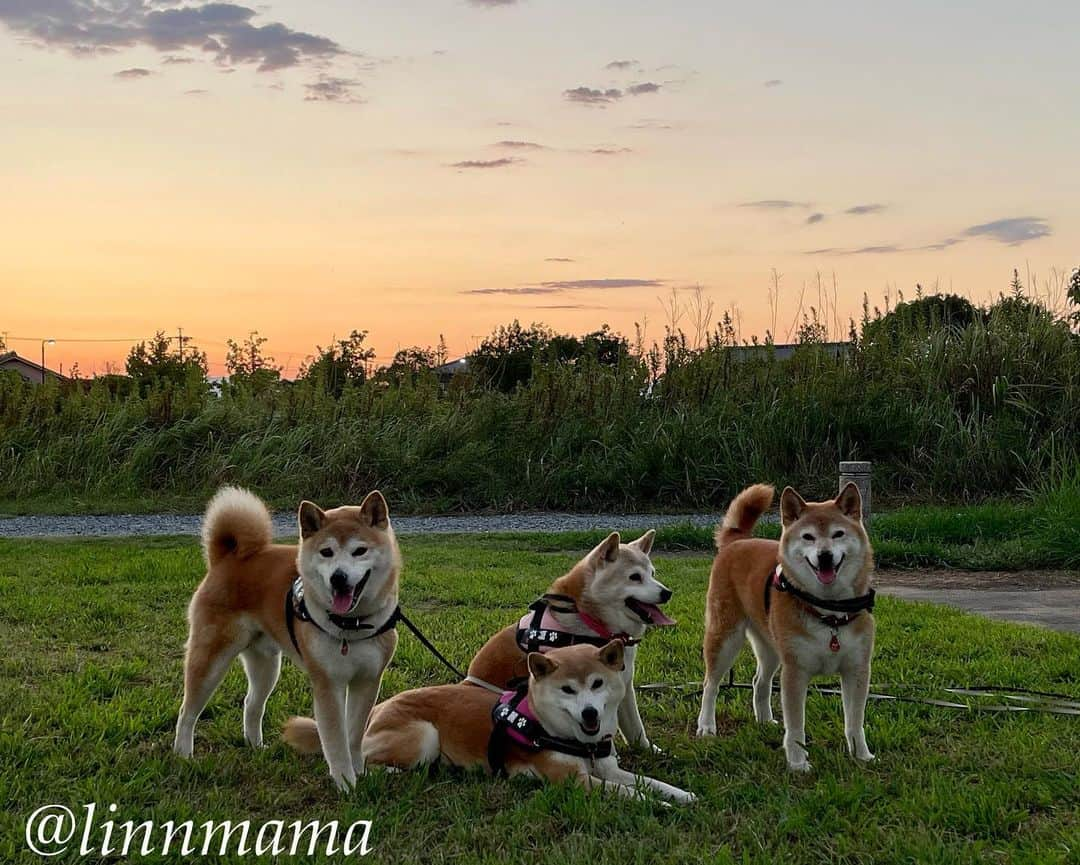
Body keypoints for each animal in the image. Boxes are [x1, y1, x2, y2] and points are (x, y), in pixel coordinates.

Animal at [174, 485, 403, 790]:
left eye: (359, 551)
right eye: (326, 552)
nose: (338, 578)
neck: (351, 625)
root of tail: (226, 558)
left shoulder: (367, 680)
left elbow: (354, 735)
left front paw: (360, 772)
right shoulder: (327, 684)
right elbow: (335, 739)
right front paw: (345, 782)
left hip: (266, 665)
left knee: (251, 704)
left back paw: (255, 746)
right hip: (211, 657)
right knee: (187, 711)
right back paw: (183, 755)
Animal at [282, 639, 695, 803]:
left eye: (597, 684)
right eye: (567, 690)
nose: (590, 713)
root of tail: (379, 707)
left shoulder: (607, 767)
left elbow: (647, 781)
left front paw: (682, 795)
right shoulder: (574, 781)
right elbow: (629, 792)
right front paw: (656, 805)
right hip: (424, 735)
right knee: (360, 761)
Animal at [466, 526, 673, 747]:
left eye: (652, 574)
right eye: (635, 577)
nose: (667, 592)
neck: (590, 618)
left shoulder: (623, 684)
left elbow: (636, 728)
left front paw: (649, 750)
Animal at [691, 481, 876, 773]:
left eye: (838, 534)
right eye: (808, 537)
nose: (825, 556)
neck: (829, 613)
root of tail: (738, 540)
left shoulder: (856, 669)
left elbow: (854, 721)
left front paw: (861, 755)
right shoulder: (795, 672)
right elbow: (796, 726)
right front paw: (798, 762)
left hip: (771, 647)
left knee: (760, 681)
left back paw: (765, 721)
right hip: (725, 639)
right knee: (710, 685)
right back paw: (707, 726)